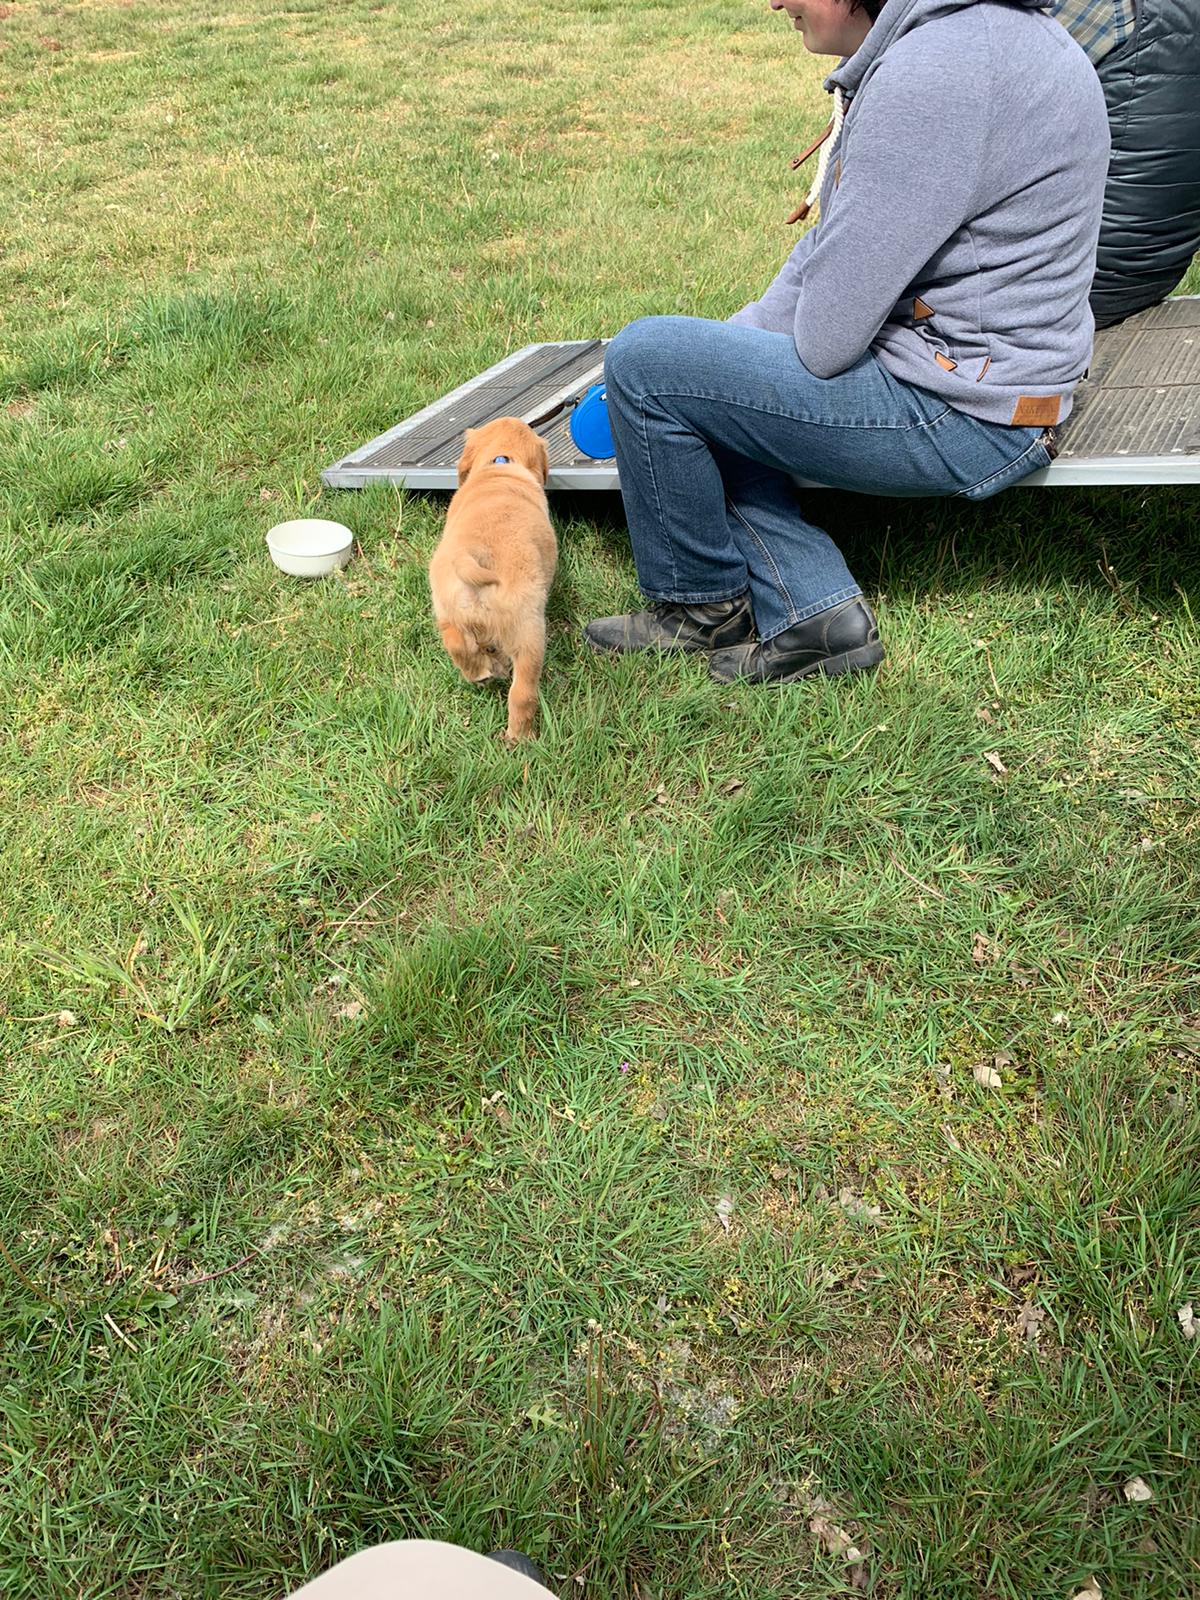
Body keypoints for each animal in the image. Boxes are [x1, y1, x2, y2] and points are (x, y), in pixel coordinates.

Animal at [428, 417, 556, 743]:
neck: (501, 462)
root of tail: (472, 557)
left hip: (446, 608)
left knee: (456, 644)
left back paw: (480, 673)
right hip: (529, 632)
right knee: (522, 693)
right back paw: (520, 738)